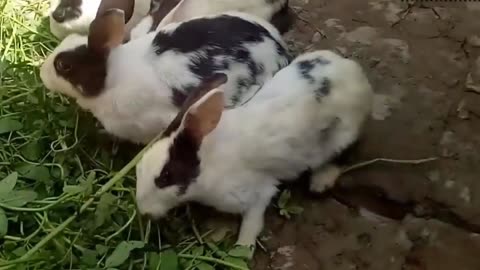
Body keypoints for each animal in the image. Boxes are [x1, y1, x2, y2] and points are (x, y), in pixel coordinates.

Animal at [135, 49, 376, 248]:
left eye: (165, 177)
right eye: (138, 168)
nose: (142, 209)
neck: (209, 161)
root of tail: (354, 72)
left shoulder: (257, 194)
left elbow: (252, 224)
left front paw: (242, 249)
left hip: (342, 135)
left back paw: (320, 182)